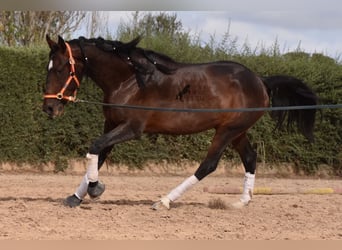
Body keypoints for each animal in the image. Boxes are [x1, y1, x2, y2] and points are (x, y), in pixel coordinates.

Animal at [42, 35, 318, 209]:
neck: (130, 80)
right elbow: (98, 154)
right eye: (48, 67)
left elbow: (96, 147)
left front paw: (95, 189)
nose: (49, 108)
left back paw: (164, 201)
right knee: (250, 158)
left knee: (208, 165)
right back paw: (241, 202)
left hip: (227, 131)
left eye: (61, 68)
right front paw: (76, 196)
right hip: (237, 132)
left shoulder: (132, 128)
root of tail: (261, 80)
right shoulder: (111, 125)